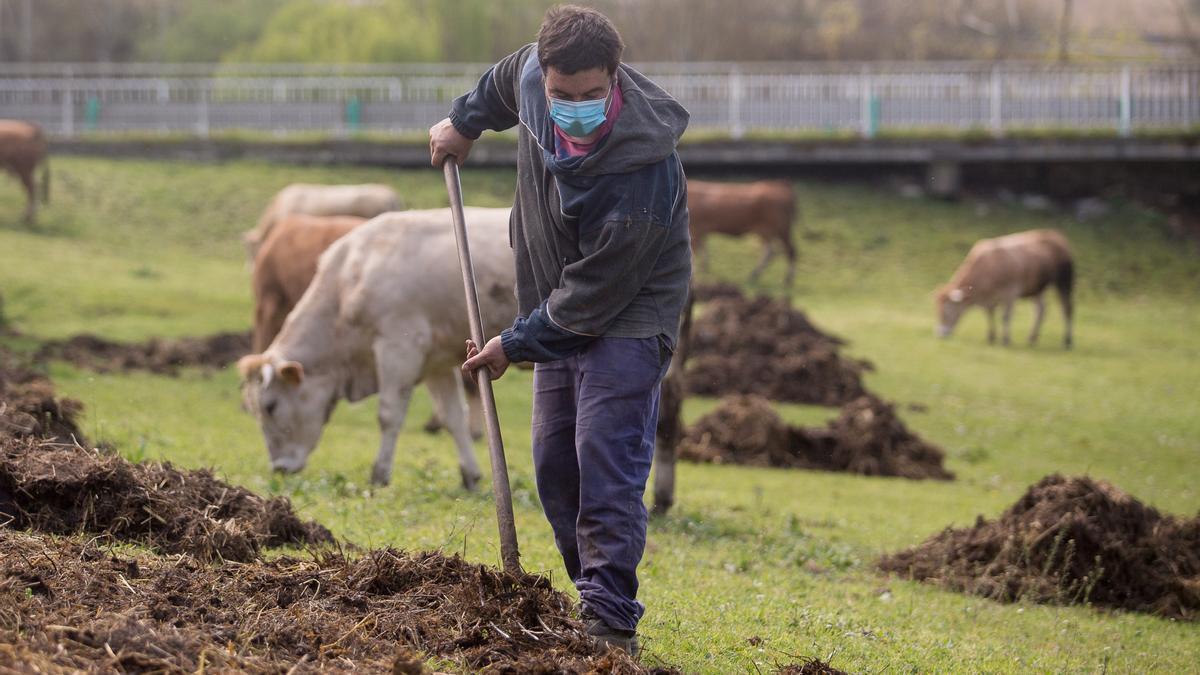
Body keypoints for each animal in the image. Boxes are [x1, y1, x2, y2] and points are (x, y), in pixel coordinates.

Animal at [236, 207, 513, 485]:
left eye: (270, 406)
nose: (279, 468)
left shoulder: (399, 347)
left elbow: (388, 414)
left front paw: (380, 474)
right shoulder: (436, 361)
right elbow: (453, 417)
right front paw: (470, 476)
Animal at [931, 229, 1075, 348]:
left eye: (947, 310)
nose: (940, 334)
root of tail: (1055, 236)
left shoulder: (1010, 293)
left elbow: (1005, 317)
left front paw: (1006, 340)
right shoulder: (989, 299)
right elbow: (989, 314)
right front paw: (991, 337)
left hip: (1064, 281)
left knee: (1067, 308)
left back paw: (1067, 341)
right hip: (1037, 288)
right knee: (1041, 310)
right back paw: (1032, 338)